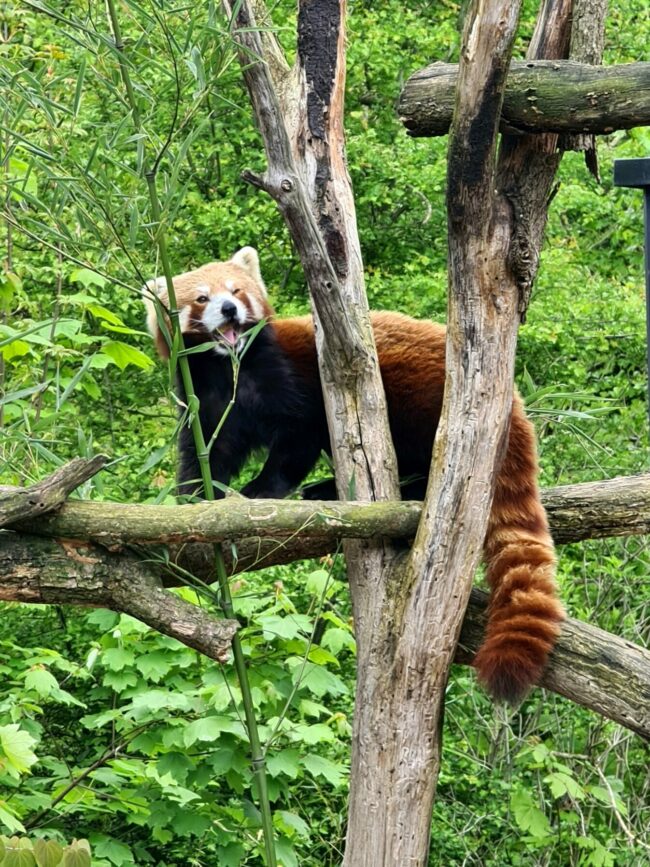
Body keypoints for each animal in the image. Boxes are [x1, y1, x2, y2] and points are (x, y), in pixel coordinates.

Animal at [144, 248, 560, 700]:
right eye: (202, 298)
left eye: (236, 291)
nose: (229, 309)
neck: (231, 367)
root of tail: (512, 402)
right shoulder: (206, 403)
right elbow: (208, 457)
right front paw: (193, 501)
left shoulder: (291, 380)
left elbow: (297, 440)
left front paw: (258, 490)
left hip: (423, 398)